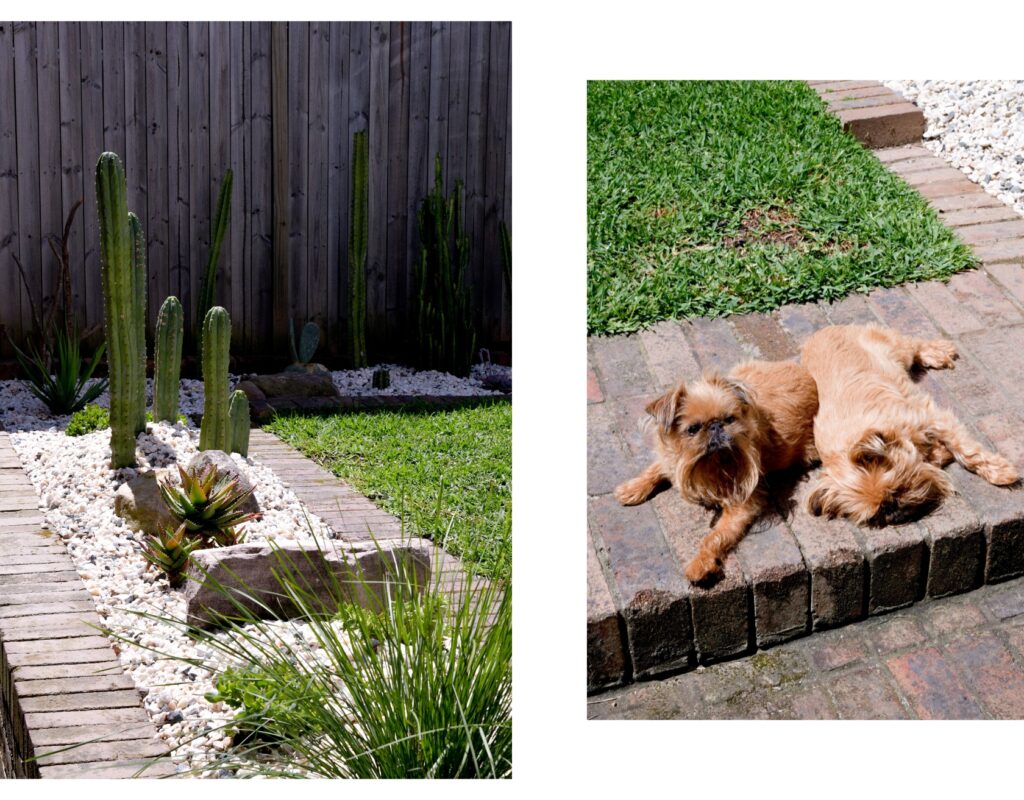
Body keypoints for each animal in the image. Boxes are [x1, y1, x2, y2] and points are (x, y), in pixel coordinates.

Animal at [614, 360, 815, 581]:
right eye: (693, 429)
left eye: (729, 419)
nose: (716, 426)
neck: (706, 461)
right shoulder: (673, 459)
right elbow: (656, 468)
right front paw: (633, 488)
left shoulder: (742, 504)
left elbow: (715, 536)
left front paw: (700, 563)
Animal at [802, 323, 1019, 524]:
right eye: (878, 513)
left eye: (897, 489)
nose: (894, 511)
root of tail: (822, 331)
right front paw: (937, 453)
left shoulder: (933, 418)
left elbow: (966, 451)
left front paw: (999, 472)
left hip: (895, 349)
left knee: (914, 345)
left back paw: (937, 352)